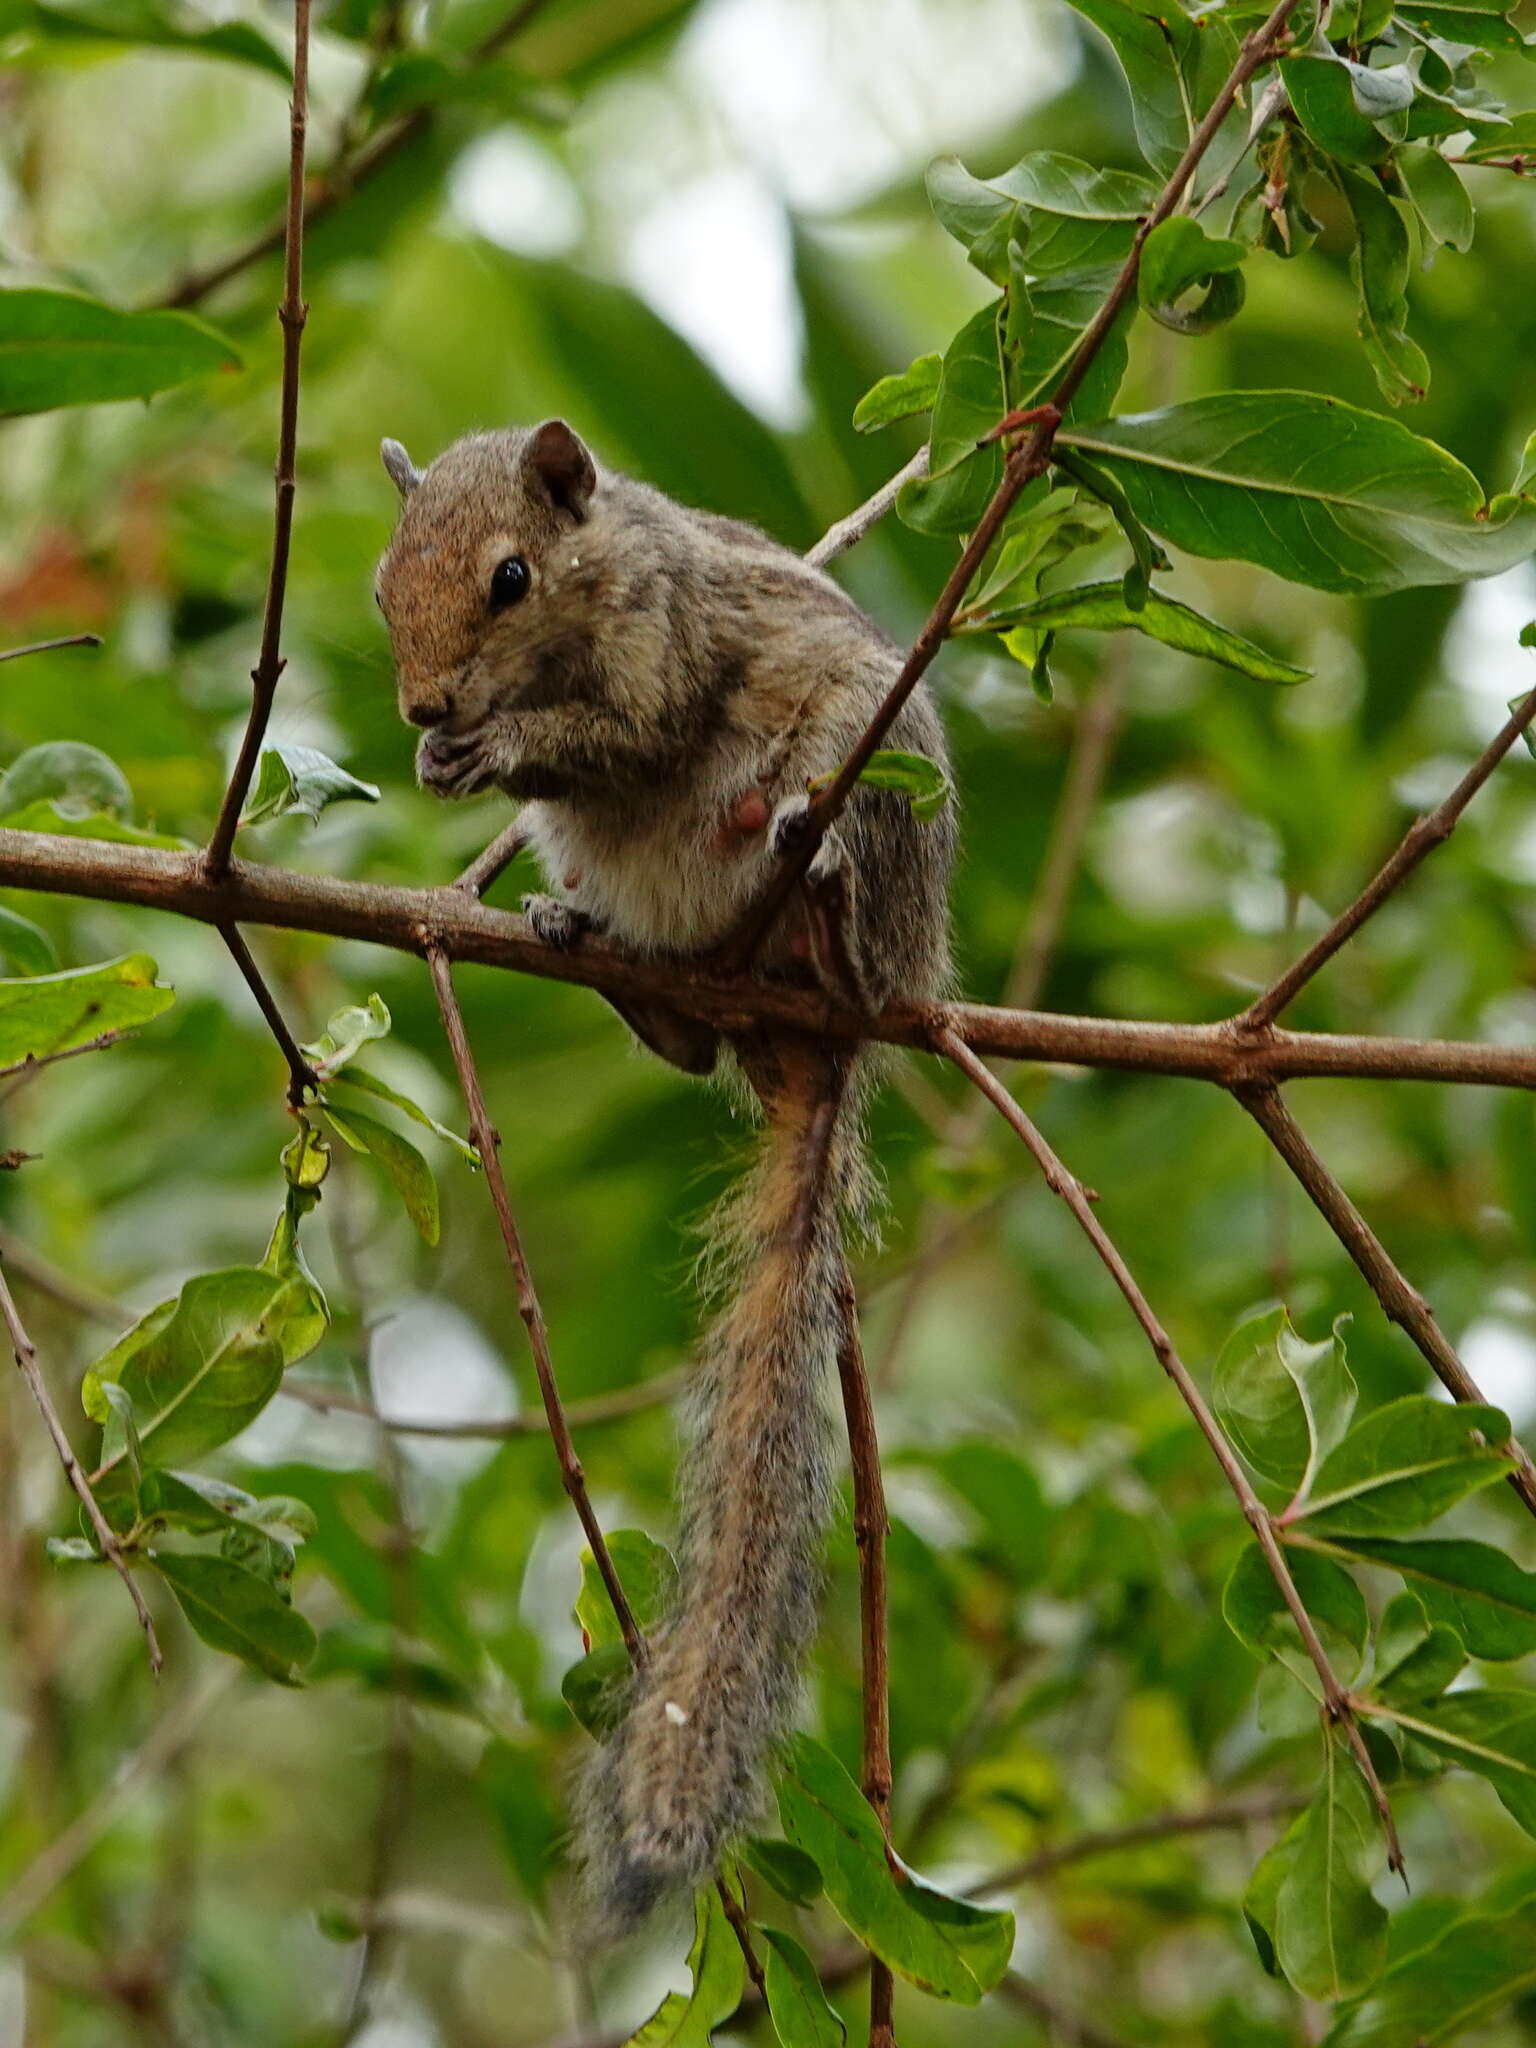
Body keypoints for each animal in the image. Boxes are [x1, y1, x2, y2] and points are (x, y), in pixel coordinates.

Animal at [376, 423, 950, 1925]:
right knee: (689, 1034)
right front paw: (453, 757)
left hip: (873, 789)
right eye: (386, 583)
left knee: (835, 893)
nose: (422, 705)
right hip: (650, 911)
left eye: (511, 579)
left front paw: (505, 743)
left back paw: (821, 898)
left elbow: (631, 734)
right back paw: (610, 956)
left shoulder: (671, 647)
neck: (605, 576)